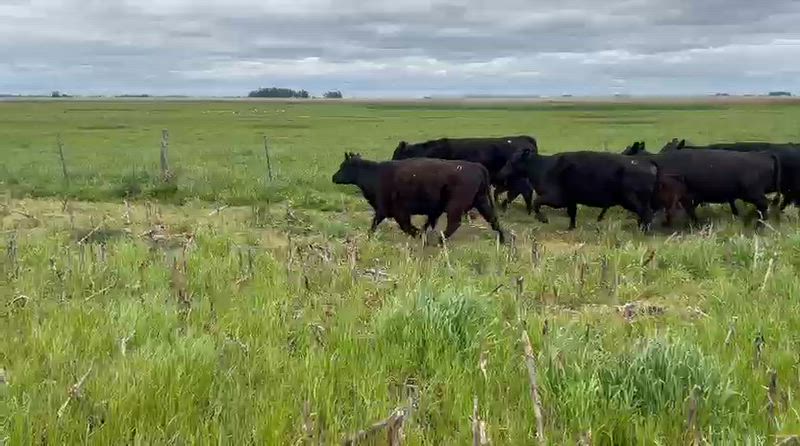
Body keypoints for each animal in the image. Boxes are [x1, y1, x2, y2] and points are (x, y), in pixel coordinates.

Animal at [332, 152, 505, 243]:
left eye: (343, 166)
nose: (333, 177)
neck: (375, 173)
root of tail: (477, 167)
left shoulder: (394, 211)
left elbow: (404, 226)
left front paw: (419, 235)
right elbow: (375, 225)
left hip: (455, 206)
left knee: (454, 224)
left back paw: (440, 241)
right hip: (481, 201)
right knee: (493, 219)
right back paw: (503, 240)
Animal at [497, 148, 658, 230]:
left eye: (511, 161)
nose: (500, 173)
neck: (542, 166)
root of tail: (647, 162)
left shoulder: (556, 198)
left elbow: (537, 203)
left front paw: (543, 219)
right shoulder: (570, 200)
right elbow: (572, 213)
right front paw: (571, 227)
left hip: (633, 200)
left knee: (647, 214)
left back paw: (643, 232)